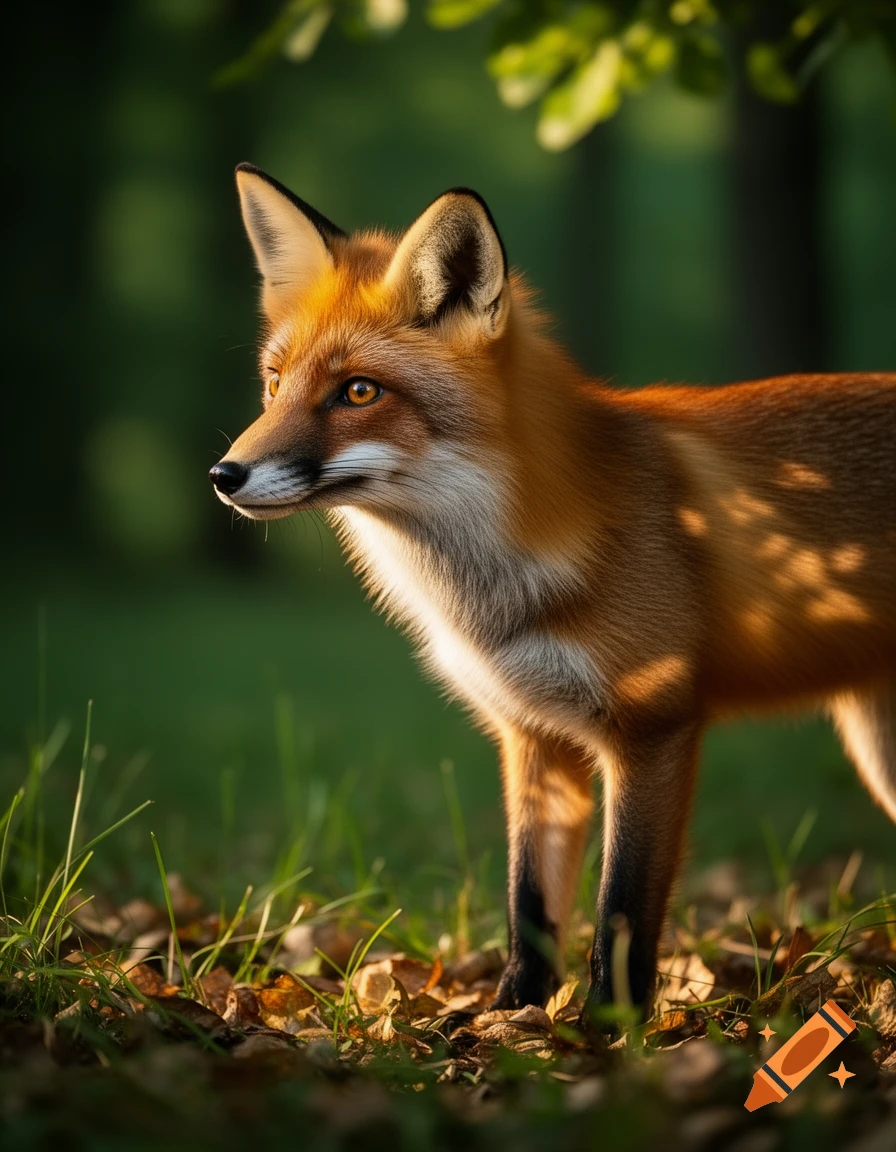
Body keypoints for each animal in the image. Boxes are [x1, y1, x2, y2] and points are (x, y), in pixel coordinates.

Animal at [210, 163, 896, 1025]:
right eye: (274, 383)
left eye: (359, 392)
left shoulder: (654, 727)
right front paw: (511, 1019)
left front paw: (608, 1030)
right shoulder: (533, 735)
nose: (223, 475)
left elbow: (622, 908)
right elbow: (529, 904)